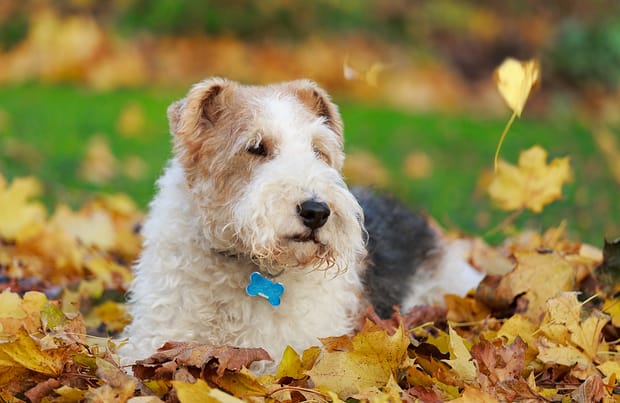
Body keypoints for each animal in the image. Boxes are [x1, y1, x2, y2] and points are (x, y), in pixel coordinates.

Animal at [118, 77, 482, 370]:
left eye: (318, 150)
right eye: (256, 147)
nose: (317, 211)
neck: (241, 264)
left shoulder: (291, 354)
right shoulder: (151, 342)